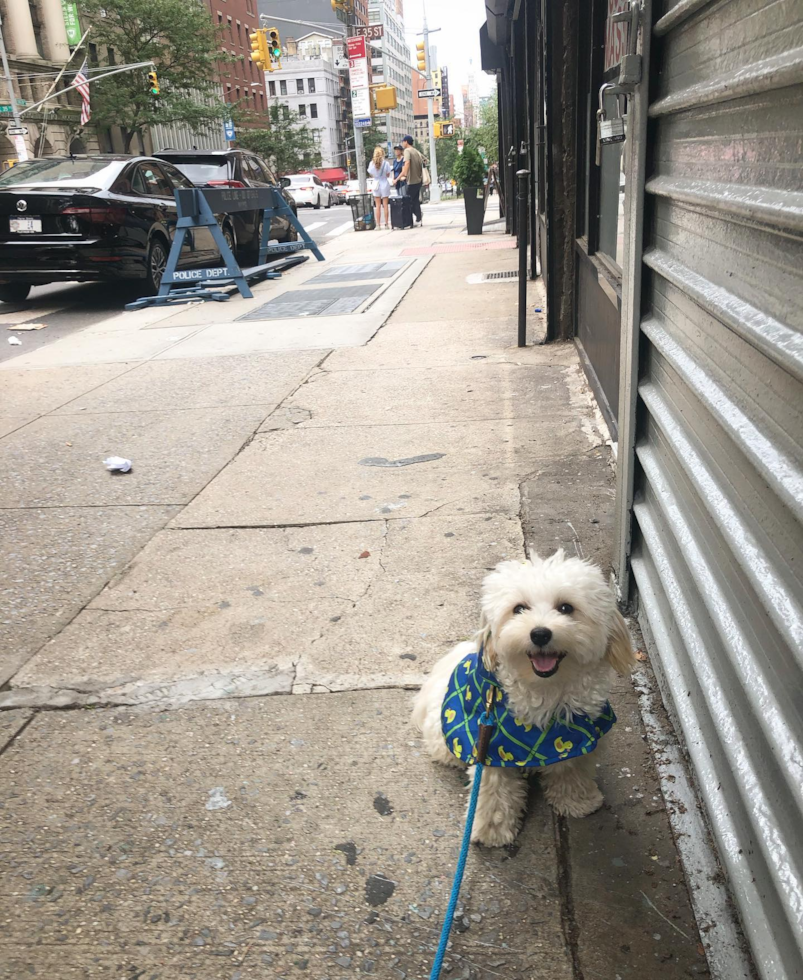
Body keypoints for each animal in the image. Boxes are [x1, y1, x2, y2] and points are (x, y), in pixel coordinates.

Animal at [412, 556, 636, 848]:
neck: (547, 692)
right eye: (519, 609)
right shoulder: (489, 746)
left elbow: (571, 772)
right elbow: (493, 791)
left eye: (566, 608)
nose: (540, 634)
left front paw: (578, 802)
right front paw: (492, 831)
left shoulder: (579, 739)